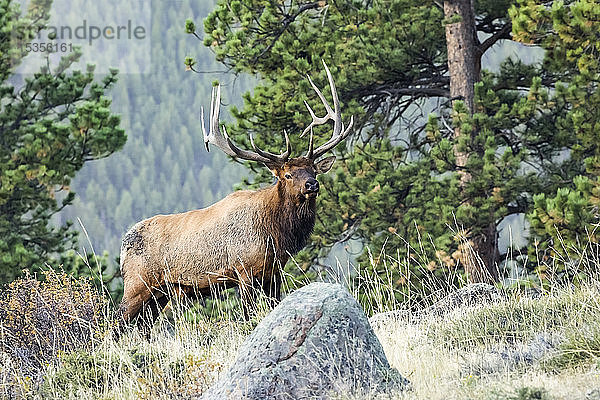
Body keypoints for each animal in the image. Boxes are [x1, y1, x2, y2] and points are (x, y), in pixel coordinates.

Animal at [116, 62, 352, 332]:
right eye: (288, 174)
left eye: (313, 170)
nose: (312, 184)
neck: (276, 234)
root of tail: (123, 245)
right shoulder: (244, 270)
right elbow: (248, 315)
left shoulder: (274, 273)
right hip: (136, 284)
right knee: (115, 323)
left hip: (160, 294)